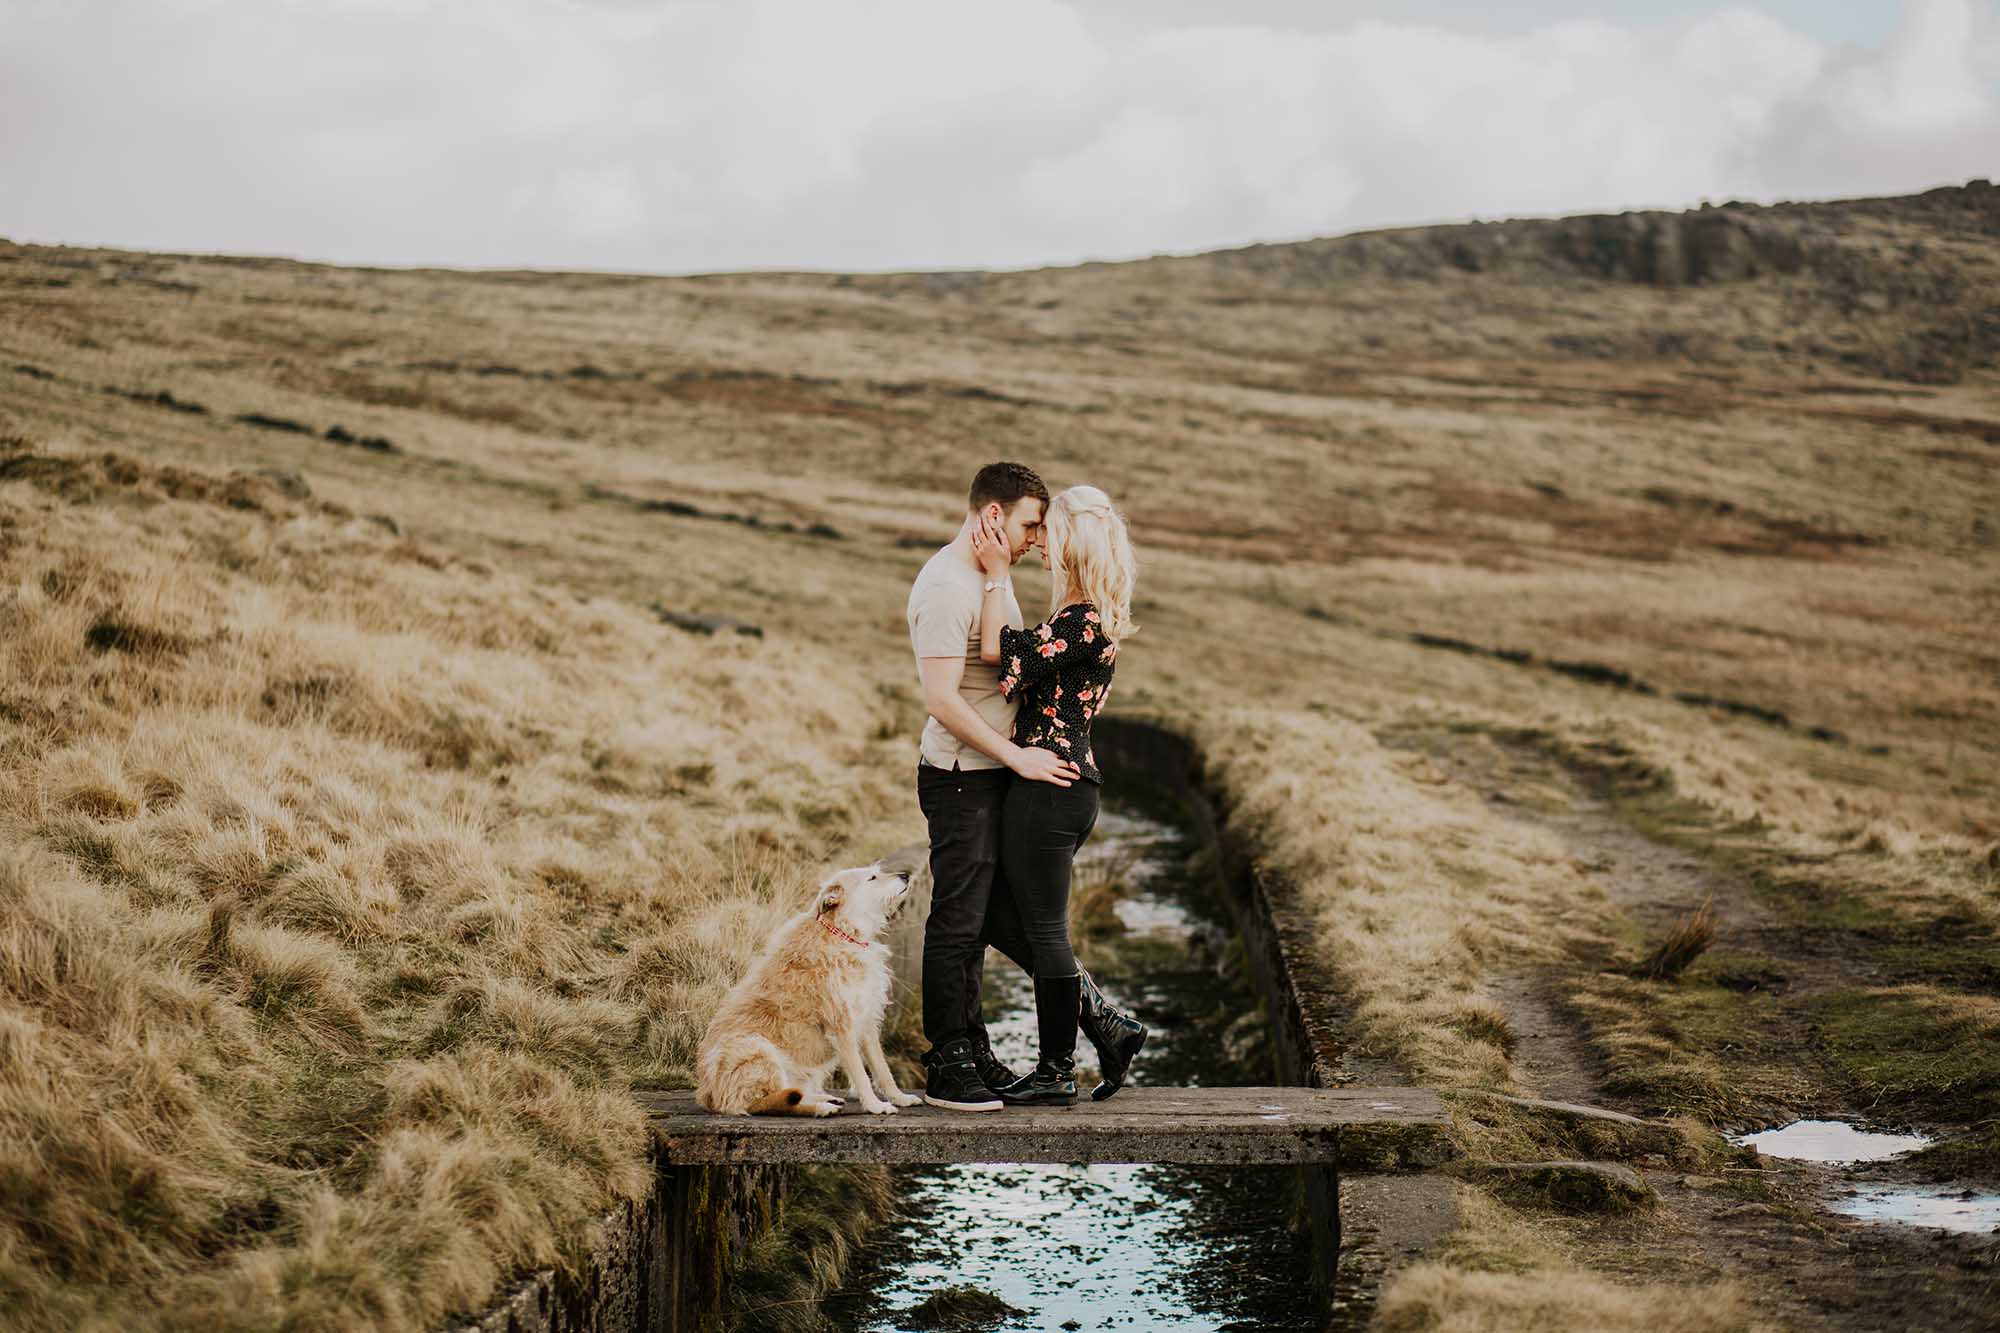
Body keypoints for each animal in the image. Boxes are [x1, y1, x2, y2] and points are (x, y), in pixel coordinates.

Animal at [696, 860, 920, 1112]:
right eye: (871, 878)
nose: (905, 875)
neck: (843, 934)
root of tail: (709, 1095)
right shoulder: (841, 1025)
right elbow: (861, 1074)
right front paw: (875, 1105)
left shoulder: (867, 1020)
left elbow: (882, 1068)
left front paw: (899, 1097)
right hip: (754, 1048)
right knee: (765, 1102)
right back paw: (821, 1109)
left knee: (791, 1093)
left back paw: (824, 1099)